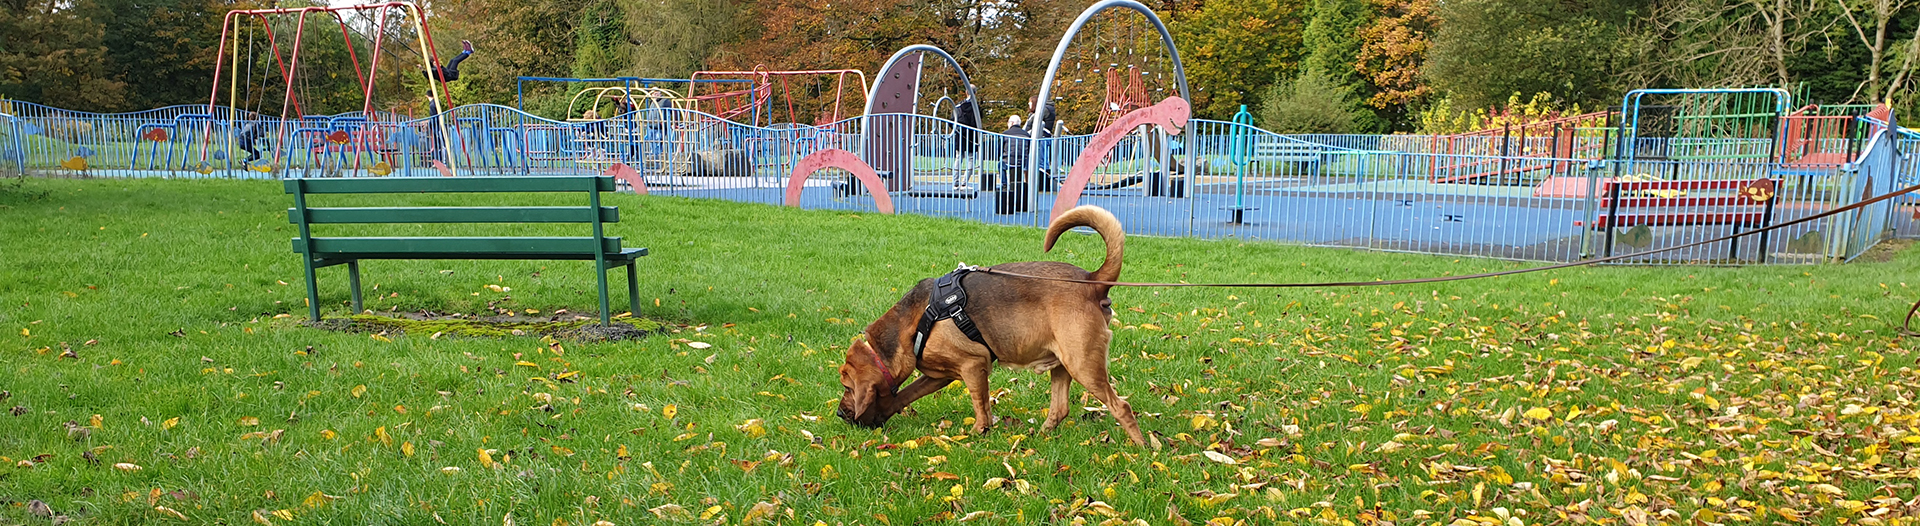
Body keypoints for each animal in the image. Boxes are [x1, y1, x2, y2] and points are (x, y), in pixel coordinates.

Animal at [837, 204, 1136, 443]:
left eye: (847, 386)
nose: (839, 413)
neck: (911, 323)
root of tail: (1092, 281)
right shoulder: (938, 375)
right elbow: (905, 394)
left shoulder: (974, 365)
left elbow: (980, 405)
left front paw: (977, 433)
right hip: (1063, 364)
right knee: (1060, 409)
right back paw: (1040, 436)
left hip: (1083, 365)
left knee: (1121, 407)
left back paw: (1143, 449)